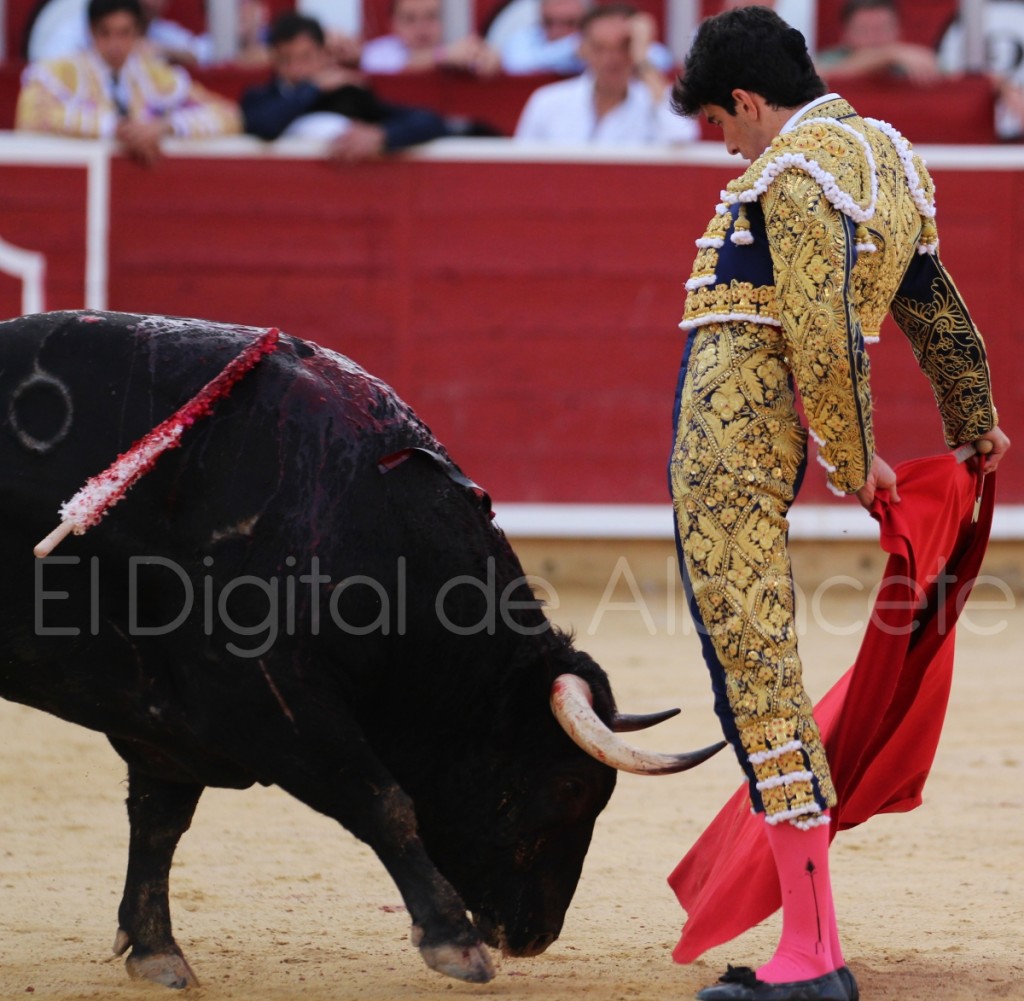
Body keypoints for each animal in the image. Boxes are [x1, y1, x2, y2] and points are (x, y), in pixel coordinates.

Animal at [2, 311, 720, 982]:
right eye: (571, 785)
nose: (535, 935)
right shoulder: (268, 697)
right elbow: (382, 800)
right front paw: (452, 940)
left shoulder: (169, 720)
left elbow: (158, 821)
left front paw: (156, 951)